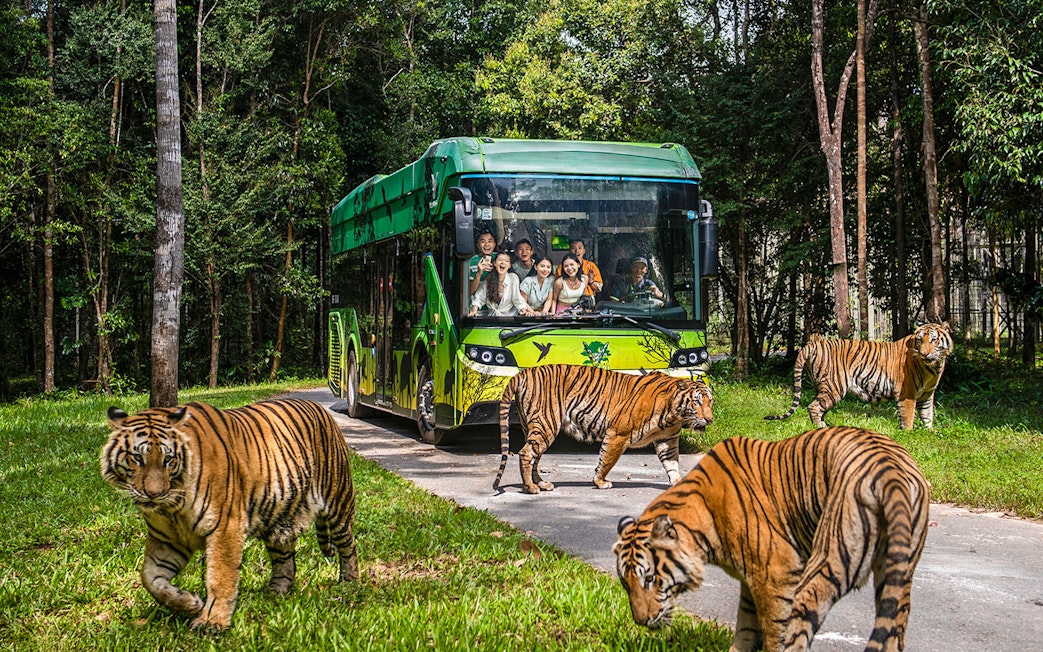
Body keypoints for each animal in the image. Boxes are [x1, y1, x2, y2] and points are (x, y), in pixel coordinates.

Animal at [100, 398, 358, 630]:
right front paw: (189, 602)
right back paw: (274, 593)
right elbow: (150, 579)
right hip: (279, 520)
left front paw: (212, 622)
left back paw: (349, 583)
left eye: (168, 459)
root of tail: (320, 408)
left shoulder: (225, 527)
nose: (154, 494)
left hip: (338, 502)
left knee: (349, 546)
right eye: (137, 458)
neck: (173, 507)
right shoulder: (167, 540)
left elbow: (220, 578)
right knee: (285, 561)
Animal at [492, 364, 713, 494]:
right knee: (526, 453)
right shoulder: (618, 434)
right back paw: (530, 488)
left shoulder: (667, 440)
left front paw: (678, 483)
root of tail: (523, 372)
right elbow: (607, 461)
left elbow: (672, 464)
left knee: (534, 456)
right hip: (546, 424)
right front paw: (600, 482)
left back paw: (542, 484)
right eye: (697, 402)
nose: (710, 419)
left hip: (534, 427)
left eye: (710, 402)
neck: (674, 414)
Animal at [614, 426, 930, 652]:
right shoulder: (751, 580)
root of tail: (890, 471)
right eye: (625, 583)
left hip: (827, 563)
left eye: (650, 579)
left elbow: (773, 632)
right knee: (894, 631)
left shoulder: (775, 576)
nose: (640, 621)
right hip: (896, 574)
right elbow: (745, 629)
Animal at [765, 322, 953, 429]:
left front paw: (930, 432)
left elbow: (927, 414)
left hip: (821, 386)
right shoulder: (907, 392)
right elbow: (908, 415)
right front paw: (908, 433)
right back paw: (820, 427)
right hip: (834, 386)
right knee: (814, 407)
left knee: (819, 406)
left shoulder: (927, 393)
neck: (934, 366)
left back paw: (826, 425)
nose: (924, 354)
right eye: (920, 340)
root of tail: (813, 344)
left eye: (934, 340)